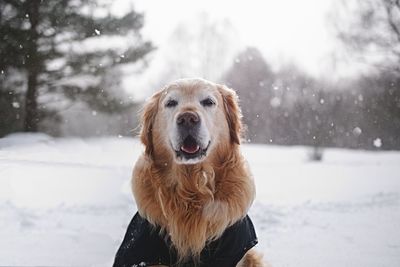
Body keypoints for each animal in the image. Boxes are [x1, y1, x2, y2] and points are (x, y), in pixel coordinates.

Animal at [112, 79, 264, 267]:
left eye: (208, 102)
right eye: (171, 103)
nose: (187, 119)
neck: (192, 186)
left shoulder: (232, 249)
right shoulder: (142, 250)